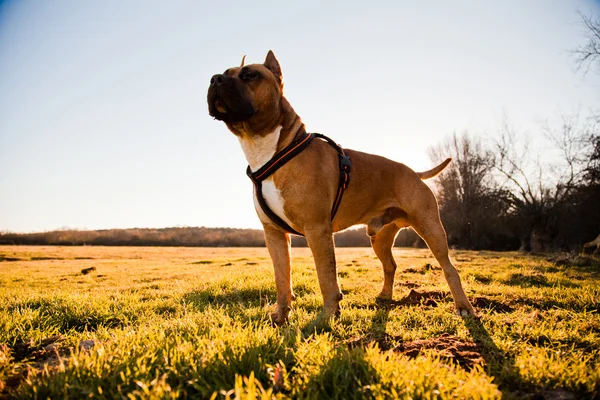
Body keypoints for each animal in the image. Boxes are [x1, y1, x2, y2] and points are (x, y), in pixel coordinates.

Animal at [209, 50, 476, 324]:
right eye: (225, 72)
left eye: (250, 75)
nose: (215, 78)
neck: (272, 150)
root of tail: (414, 172)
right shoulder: (274, 234)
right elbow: (282, 279)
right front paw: (281, 316)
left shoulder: (317, 230)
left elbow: (326, 277)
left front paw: (327, 316)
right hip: (380, 237)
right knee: (390, 265)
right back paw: (385, 296)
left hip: (430, 228)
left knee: (449, 267)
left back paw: (464, 307)